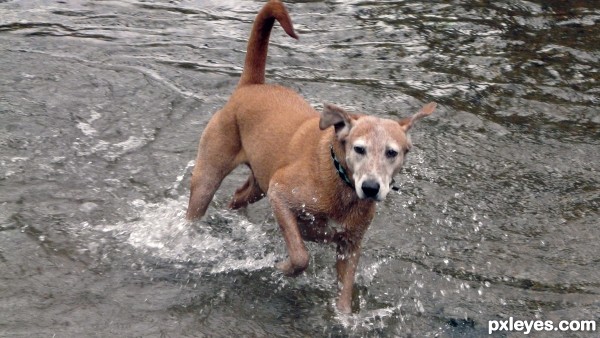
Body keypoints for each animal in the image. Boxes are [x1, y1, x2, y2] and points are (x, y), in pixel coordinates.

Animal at [188, 0, 436, 314]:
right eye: (359, 148)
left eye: (392, 152)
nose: (371, 188)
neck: (340, 183)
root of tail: (251, 86)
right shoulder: (280, 194)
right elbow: (300, 256)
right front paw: (280, 268)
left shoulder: (350, 244)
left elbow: (344, 295)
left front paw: (343, 318)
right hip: (209, 175)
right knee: (199, 203)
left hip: (259, 183)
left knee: (237, 196)